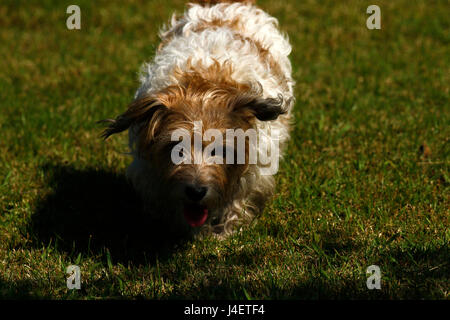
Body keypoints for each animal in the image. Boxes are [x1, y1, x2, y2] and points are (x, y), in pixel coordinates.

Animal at [103, 0, 296, 235]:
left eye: (222, 150)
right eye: (176, 147)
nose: (196, 191)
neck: (204, 84)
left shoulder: (256, 169)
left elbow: (239, 200)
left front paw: (226, 232)